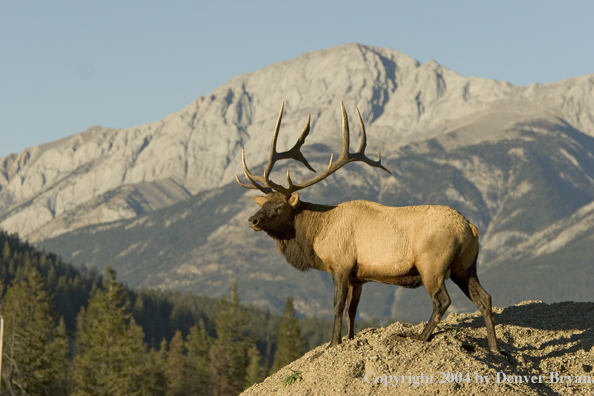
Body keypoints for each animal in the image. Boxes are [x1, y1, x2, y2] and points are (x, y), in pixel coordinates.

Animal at [234, 103, 498, 352]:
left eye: (279, 207)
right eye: (264, 203)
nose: (252, 221)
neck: (316, 235)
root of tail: (471, 228)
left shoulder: (340, 264)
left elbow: (337, 305)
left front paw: (334, 342)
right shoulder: (358, 277)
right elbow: (352, 310)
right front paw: (350, 338)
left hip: (432, 264)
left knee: (442, 301)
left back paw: (421, 337)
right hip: (464, 265)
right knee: (484, 297)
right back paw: (495, 347)